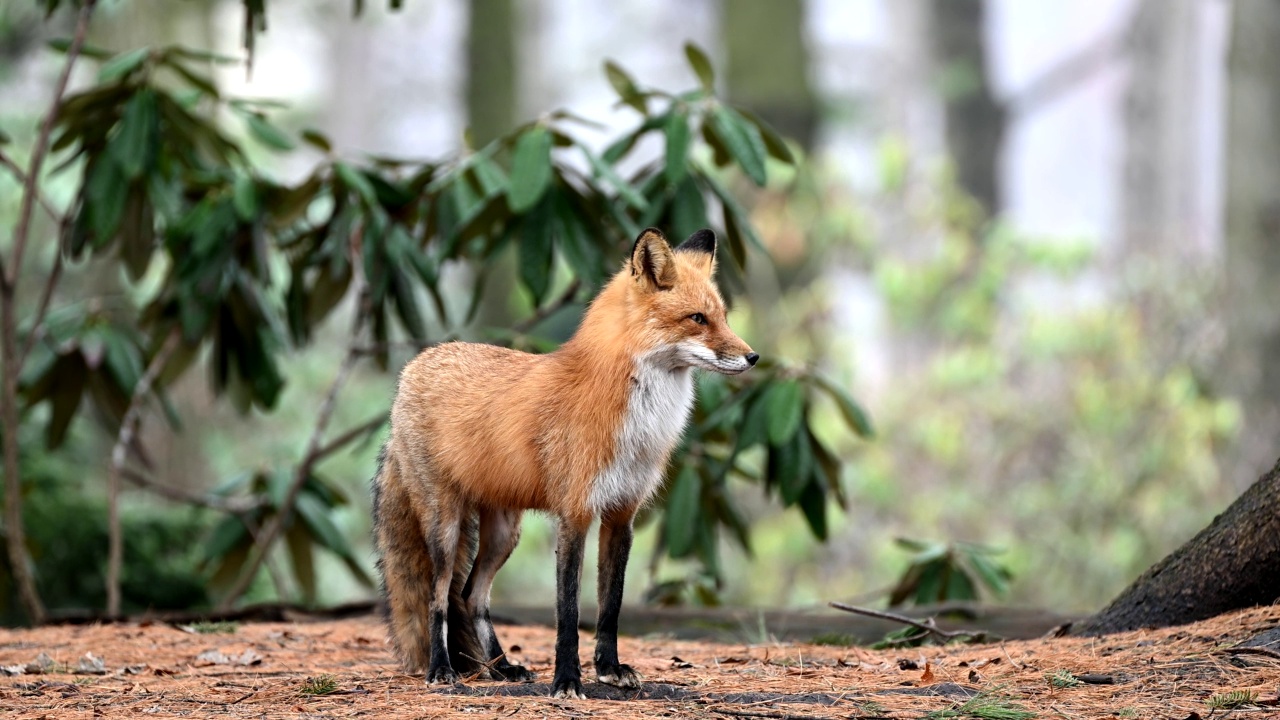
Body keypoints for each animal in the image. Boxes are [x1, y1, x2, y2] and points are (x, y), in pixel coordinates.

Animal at [373, 225, 757, 696]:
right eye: (697, 319)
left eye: (723, 317)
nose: (753, 357)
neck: (636, 422)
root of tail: (412, 369)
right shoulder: (575, 512)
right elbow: (569, 612)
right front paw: (567, 680)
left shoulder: (621, 514)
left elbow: (610, 606)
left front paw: (609, 669)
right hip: (444, 527)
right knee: (440, 596)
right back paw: (441, 669)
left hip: (504, 533)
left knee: (472, 596)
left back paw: (502, 668)